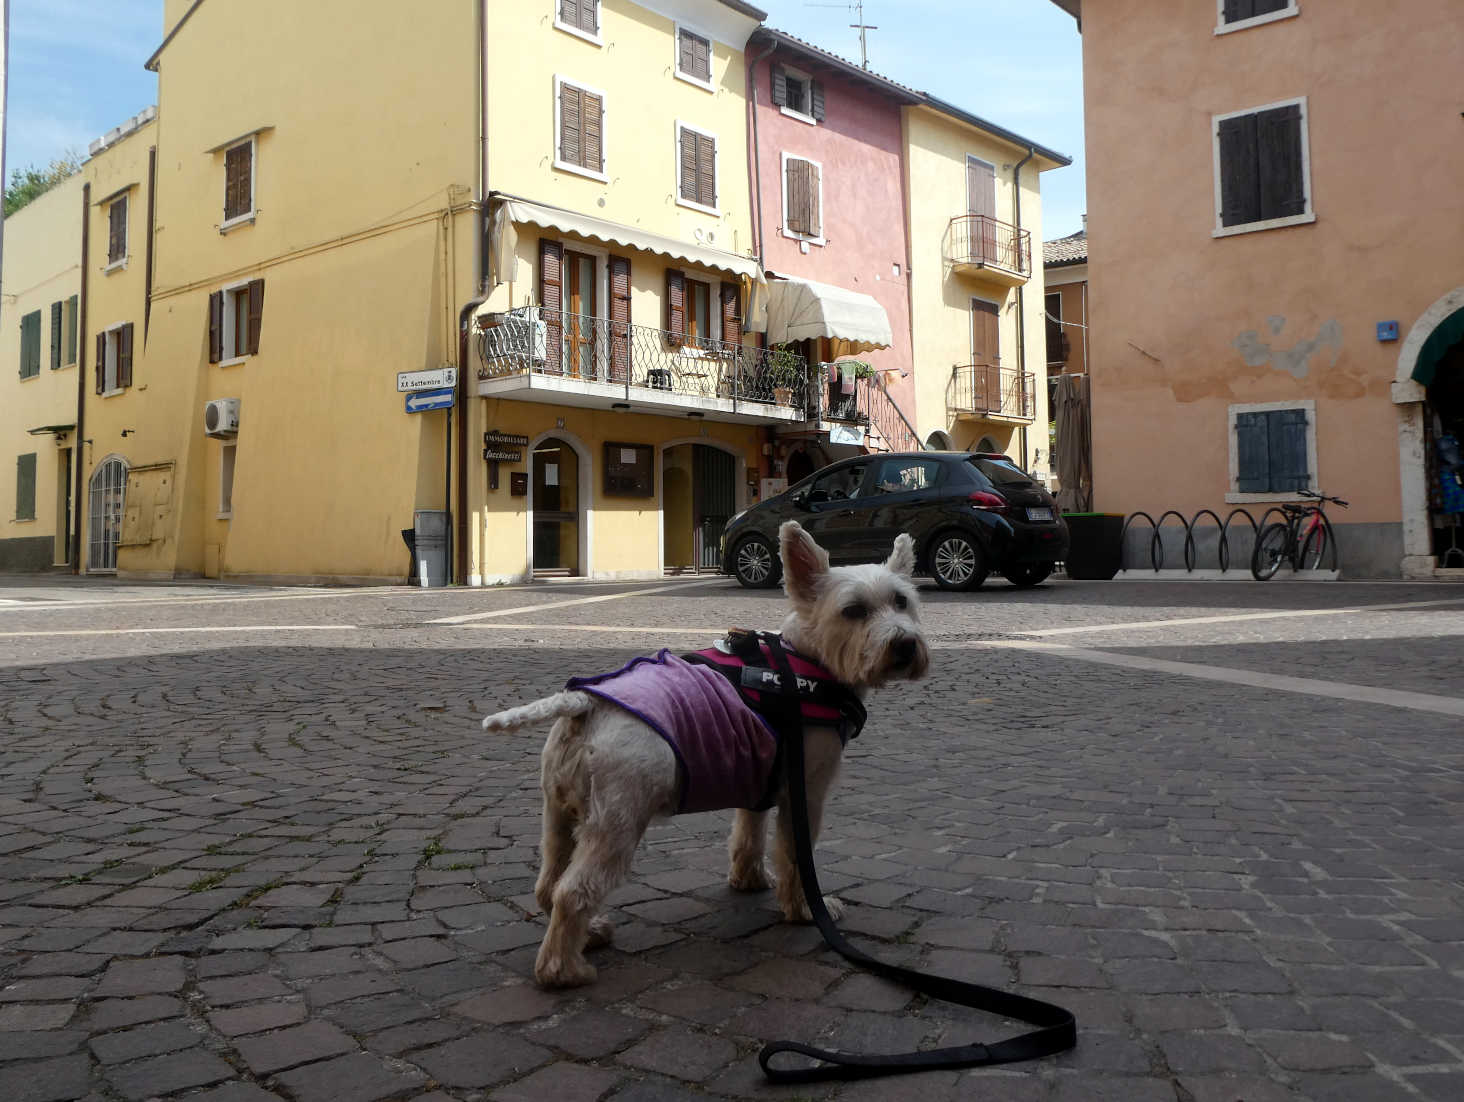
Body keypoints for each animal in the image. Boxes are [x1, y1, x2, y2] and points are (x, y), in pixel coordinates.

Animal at [486, 518, 931, 989]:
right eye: (853, 611)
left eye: (902, 601)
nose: (905, 645)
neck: (804, 665)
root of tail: (584, 704)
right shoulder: (805, 791)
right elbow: (797, 856)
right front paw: (807, 910)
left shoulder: (758, 778)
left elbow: (748, 836)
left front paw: (749, 880)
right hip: (616, 824)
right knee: (573, 892)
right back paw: (565, 970)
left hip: (559, 815)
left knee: (549, 884)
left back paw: (589, 934)